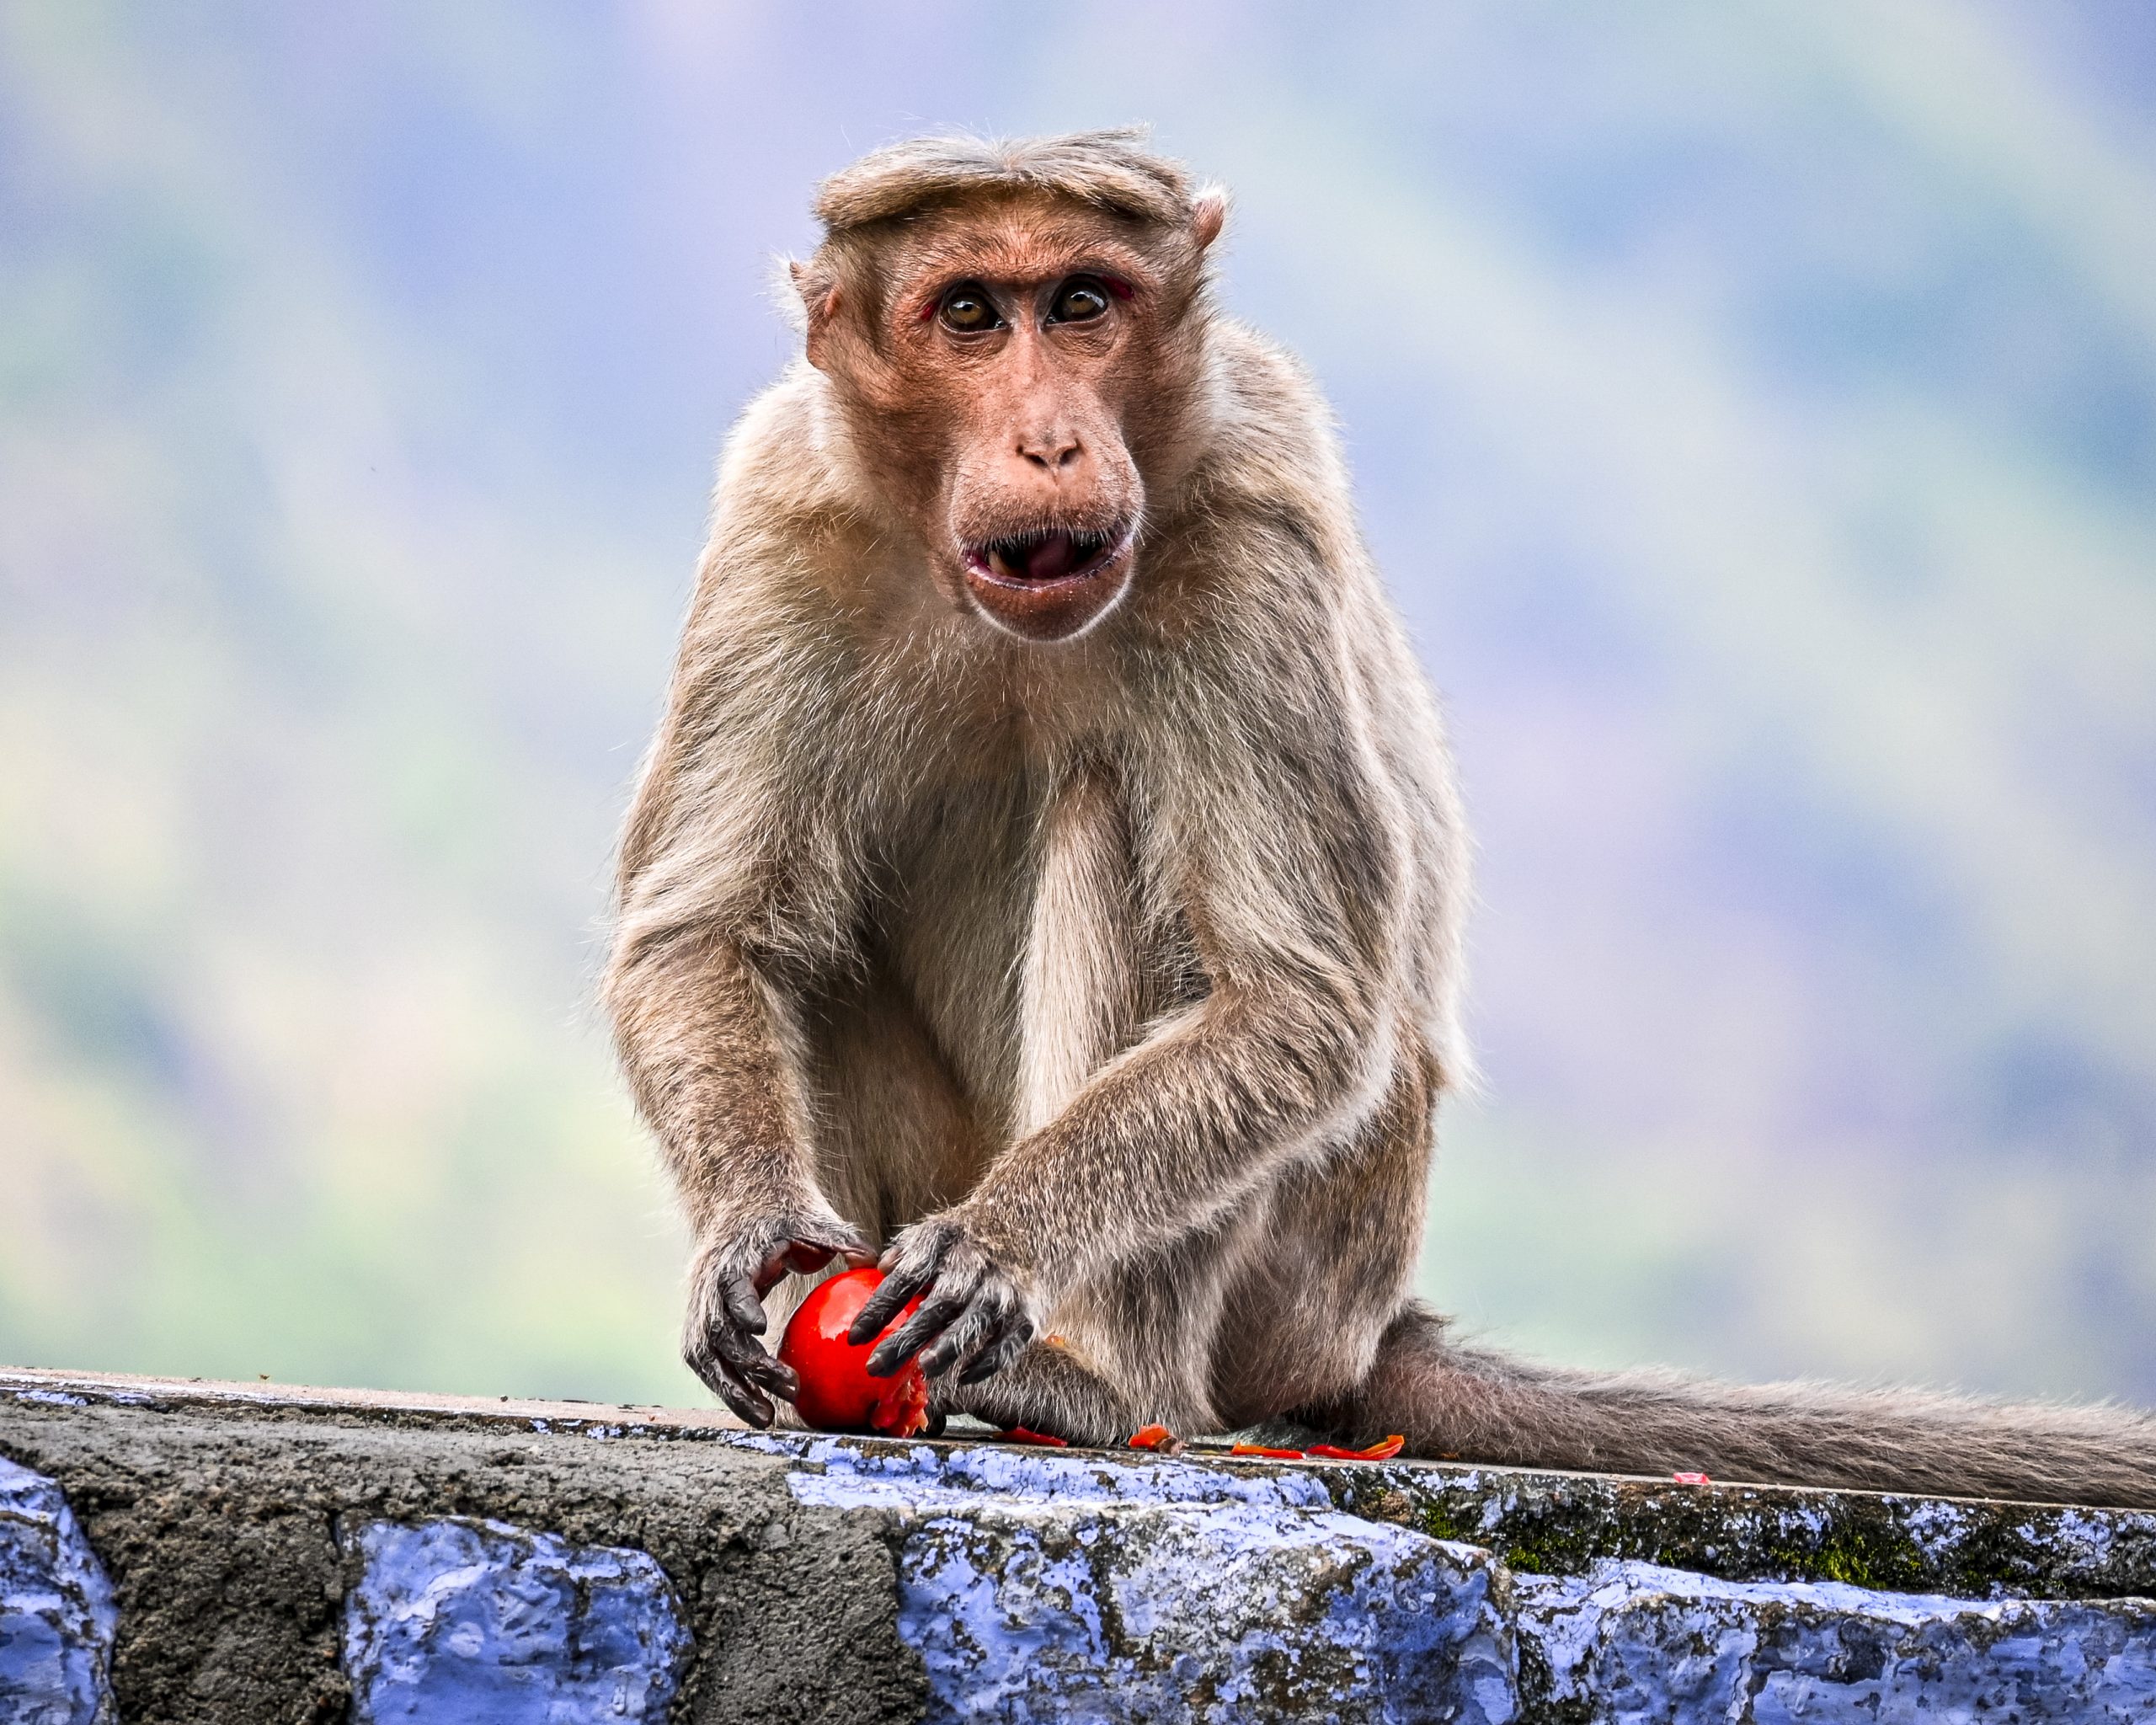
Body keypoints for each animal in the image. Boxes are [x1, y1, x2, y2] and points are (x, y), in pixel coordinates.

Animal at [603, 128, 2156, 1500]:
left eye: (1084, 304)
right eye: (971, 313)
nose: (1049, 442)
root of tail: (1370, 1330)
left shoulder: (1252, 523)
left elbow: (1295, 1000)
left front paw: (1001, 1241)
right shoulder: (781, 512)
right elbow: (704, 931)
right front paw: (752, 1233)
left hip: (1308, 1272)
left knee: (1120, 821)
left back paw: (1099, 1382)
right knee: (818, 937)